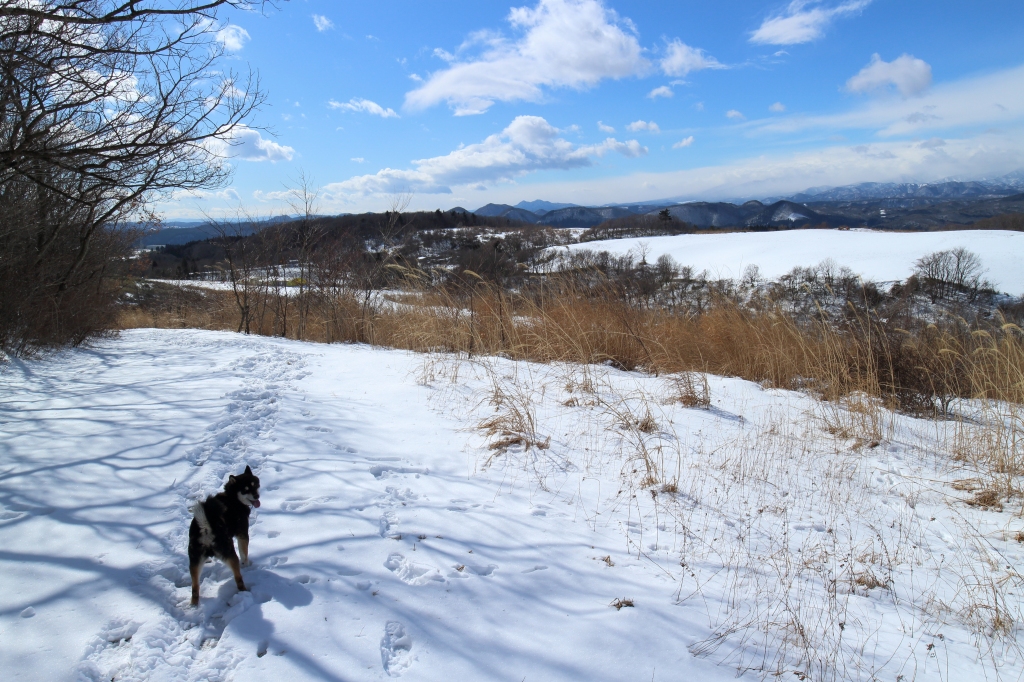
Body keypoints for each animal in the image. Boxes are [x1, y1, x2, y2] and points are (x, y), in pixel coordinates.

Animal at [190, 464, 260, 602]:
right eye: (245, 490)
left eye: (255, 485)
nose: (257, 496)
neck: (233, 498)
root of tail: (206, 527)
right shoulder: (242, 535)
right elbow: (244, 554)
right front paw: (247, 566)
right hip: (230, 553)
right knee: (238, 578)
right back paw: (245, 591)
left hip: (194, 562)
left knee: (195, 588)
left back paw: (194, 605)